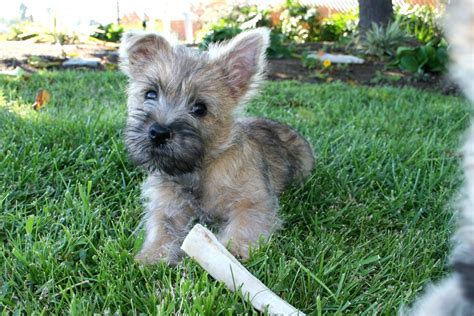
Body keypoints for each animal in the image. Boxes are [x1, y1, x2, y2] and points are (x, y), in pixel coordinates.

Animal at [118, 27, 314, 264]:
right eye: (150, 94)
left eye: (200, 108)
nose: (158, 133)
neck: (197, 170)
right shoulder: (167, 205)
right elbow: (162, 227)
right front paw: (154, 255)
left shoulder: (254, 201)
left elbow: (245, 223)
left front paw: (233, 249)